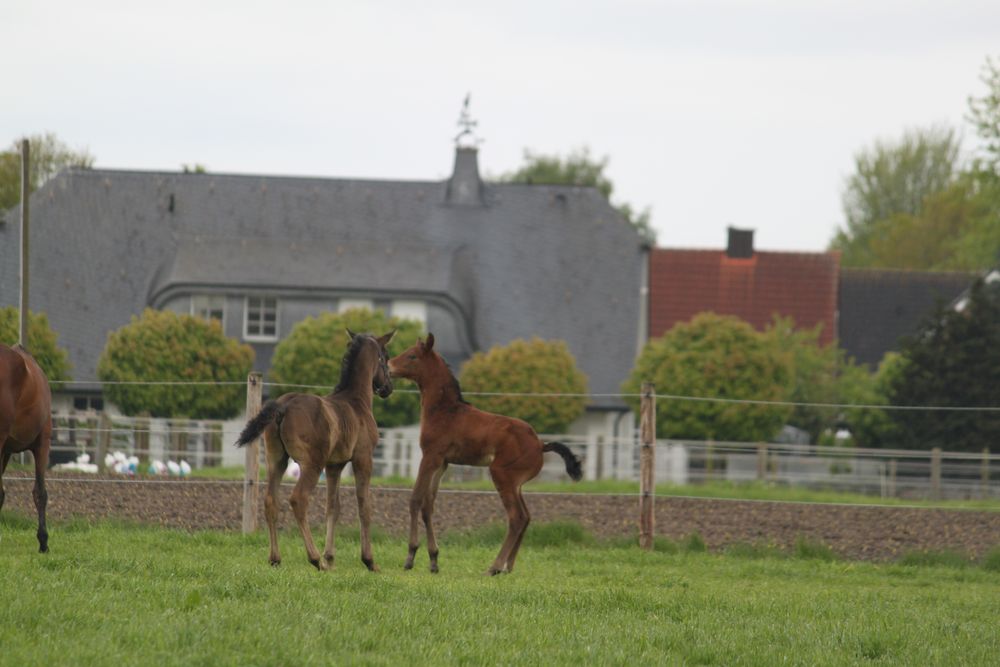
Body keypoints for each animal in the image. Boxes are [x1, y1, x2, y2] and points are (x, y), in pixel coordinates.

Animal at [237, 332, 394, 572]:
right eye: (385, 357)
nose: (388, 388)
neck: (356, 401)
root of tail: (284, 406)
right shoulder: (363, 459)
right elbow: (364, 506)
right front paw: (369, 561)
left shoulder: (334, 465)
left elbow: (333, 507)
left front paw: (330, 558)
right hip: (312, 464)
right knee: (298, 499)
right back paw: (314, 558)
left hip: (277, 460)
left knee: (271, 500)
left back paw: (276, 558)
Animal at [386, 334, 584, 576]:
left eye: (412, 356)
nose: (388, 366)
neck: (445, 411)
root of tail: (540, 444)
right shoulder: (442, 463)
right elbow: (428, 505)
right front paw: (433, 560)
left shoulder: (430, 457)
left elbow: (415, 499)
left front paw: (410, 556)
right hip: (516, 483)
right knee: (527, 516)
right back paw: (508, 566)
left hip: (501, 474)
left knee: (517, 517)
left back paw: (495, 566)